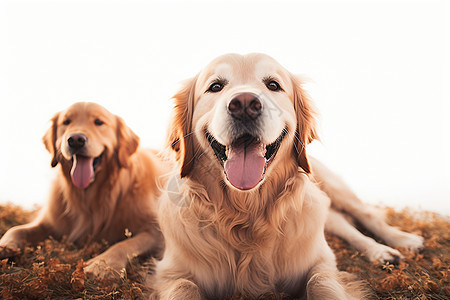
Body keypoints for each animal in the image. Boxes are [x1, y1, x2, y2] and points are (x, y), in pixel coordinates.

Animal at [0, 102, 165, 278]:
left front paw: (102, 265)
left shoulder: (155, 232)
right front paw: (5, 244)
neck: (89, 197)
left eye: (99, 122)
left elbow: (124, 244)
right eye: (66, 122)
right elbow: (16, 229)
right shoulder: (50, 222)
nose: (76, 140)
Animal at [153, 52, 424, 298]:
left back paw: (398, 244)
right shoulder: (172, 273)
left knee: (367, 215)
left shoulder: (320, 262)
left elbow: (320, 282)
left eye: (273, 85)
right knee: (344, 224)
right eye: (215, 87)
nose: (244, 104)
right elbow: (183, 286)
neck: (246, 214)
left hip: (334, 189)